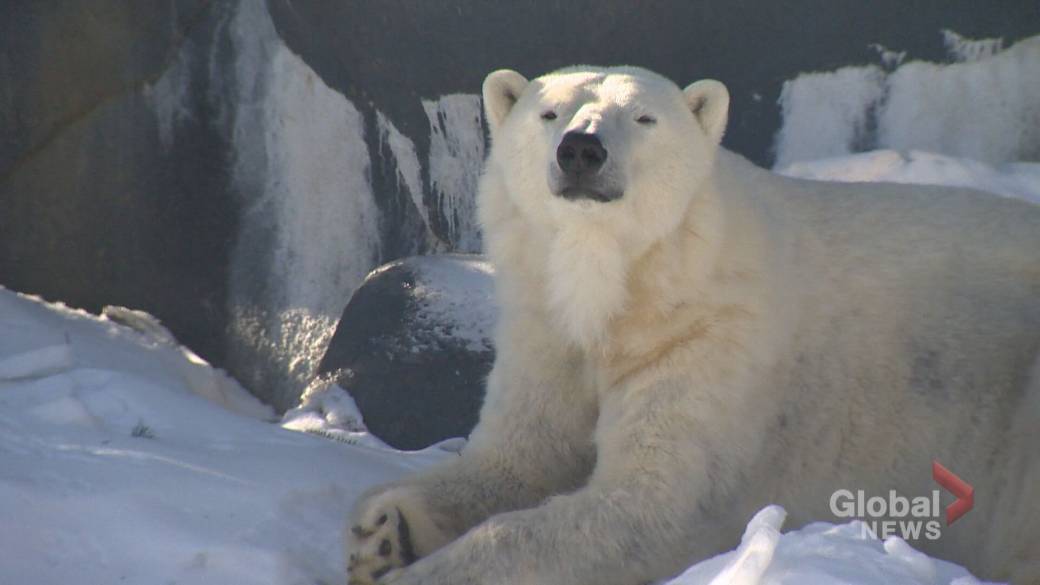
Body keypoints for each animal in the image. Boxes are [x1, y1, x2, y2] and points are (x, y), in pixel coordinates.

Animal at [347, 66, 1040, 578]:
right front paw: (383, 532)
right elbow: (520, 456)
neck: (628, 288)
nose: (581, 149)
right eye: (550, 112)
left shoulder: (707, 340)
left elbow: (648, 507)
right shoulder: (549, 333)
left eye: (643, 118)